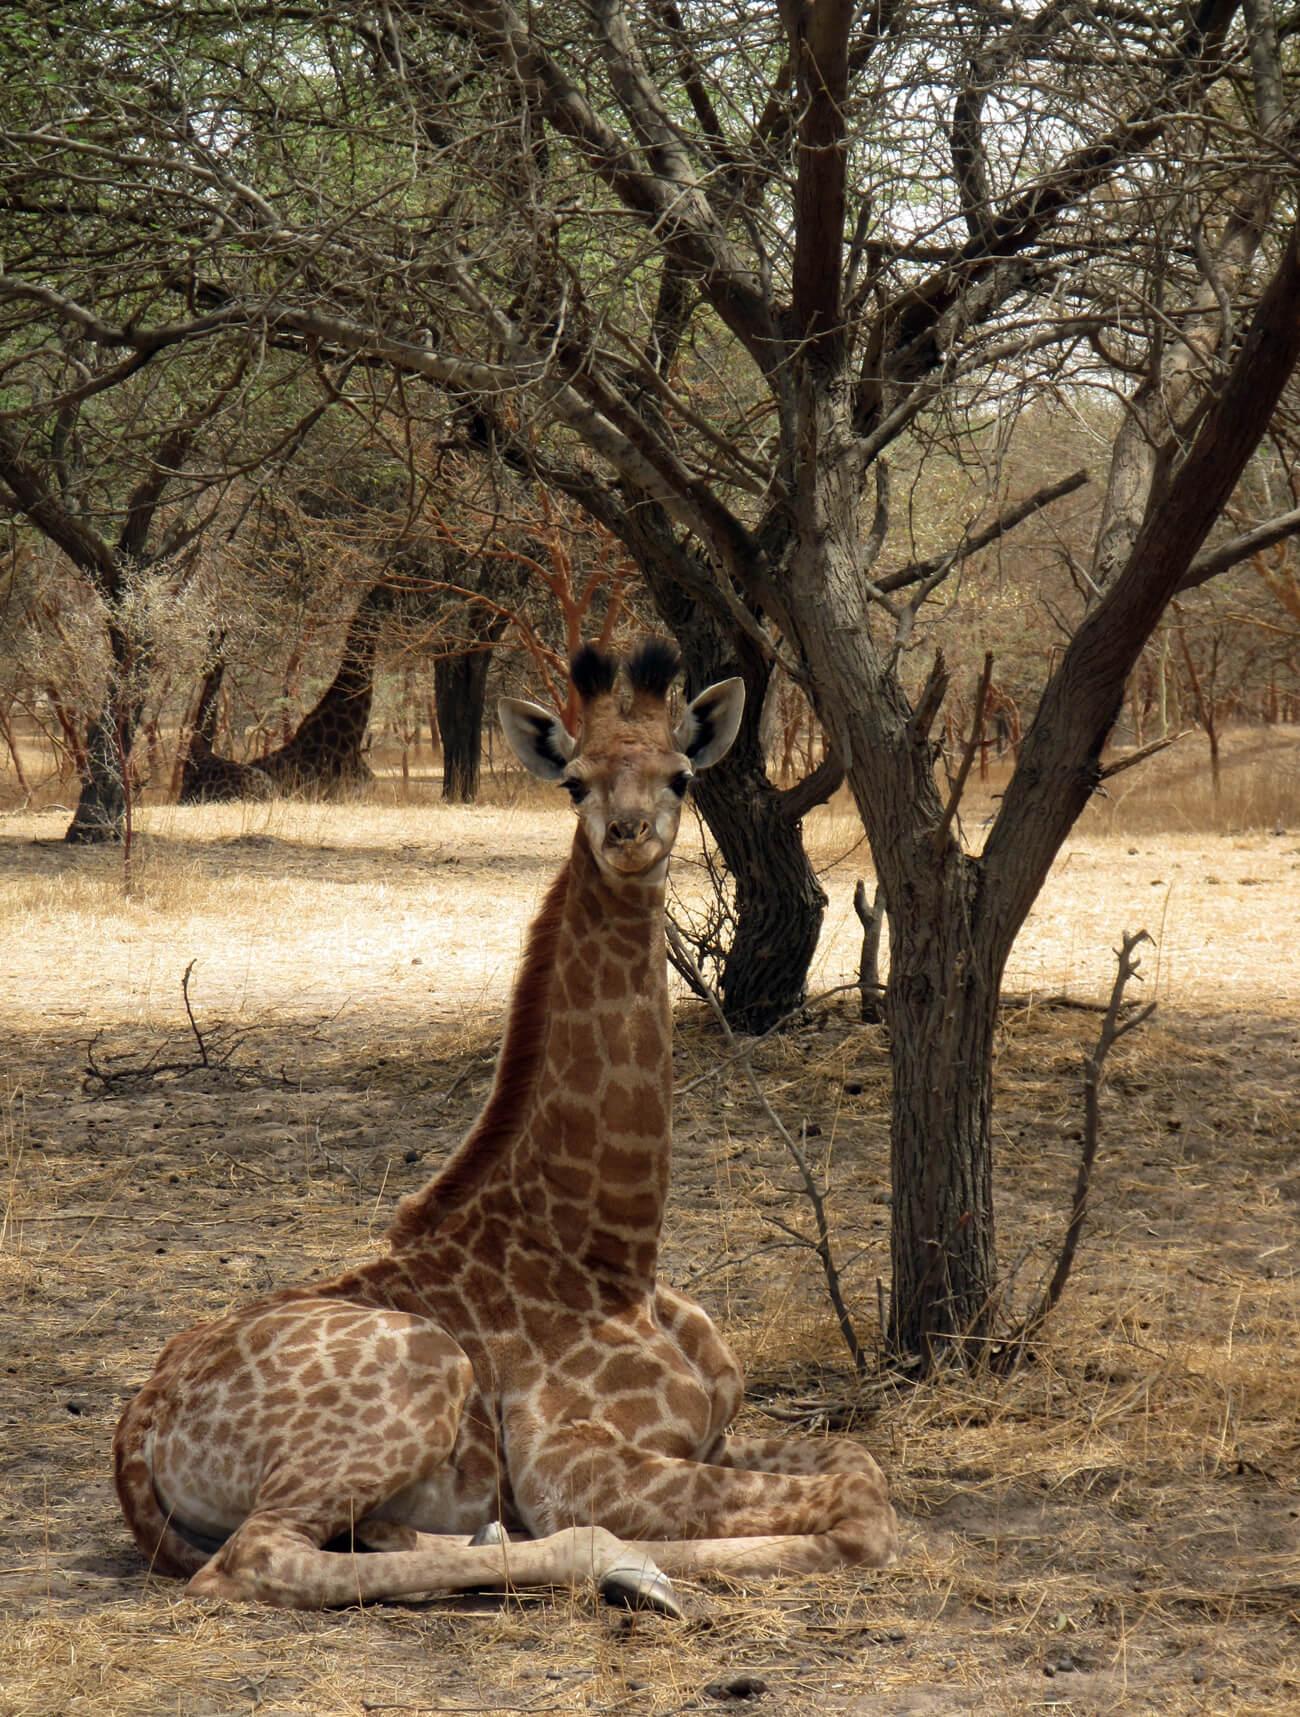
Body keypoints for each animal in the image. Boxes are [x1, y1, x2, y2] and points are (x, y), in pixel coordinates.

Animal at [116, 642, 899, 1607]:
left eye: (680, 774)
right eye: (574, 781)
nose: (629, 834)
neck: (613, 1252)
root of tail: (138, 1421)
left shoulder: (717, 1430)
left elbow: (861, 1461)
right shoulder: (568, 1461)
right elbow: (862, 1514)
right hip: (421, 1372)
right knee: (254, 1558)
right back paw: (617, 1564)